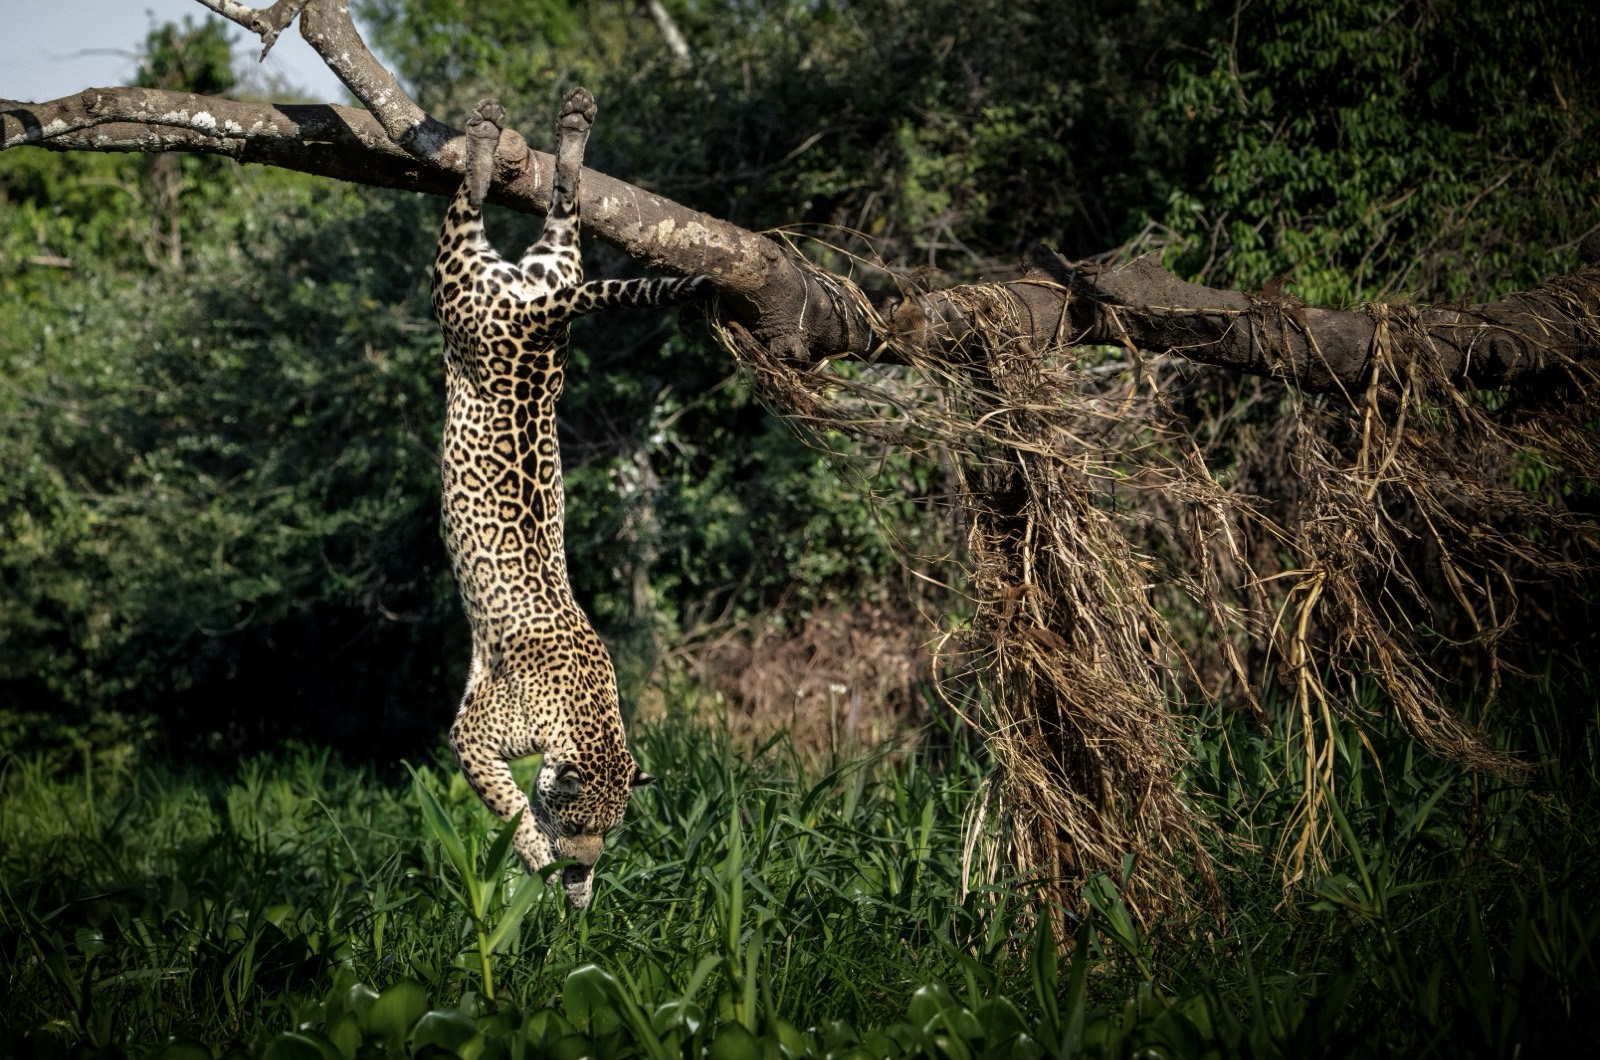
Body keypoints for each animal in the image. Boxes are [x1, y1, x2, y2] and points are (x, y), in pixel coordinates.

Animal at [431, 88, 709, 909]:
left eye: (611, 828)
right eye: (577, 816)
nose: (585, 860)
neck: (583, 712)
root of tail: (542, 315)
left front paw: (575, 893)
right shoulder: (473, 737)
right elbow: (509, 801)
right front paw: (534, 853)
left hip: (540, 267)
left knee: (559, 205)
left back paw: (557, 126)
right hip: (458, 287)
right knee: (470, 204)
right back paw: (489, 134)